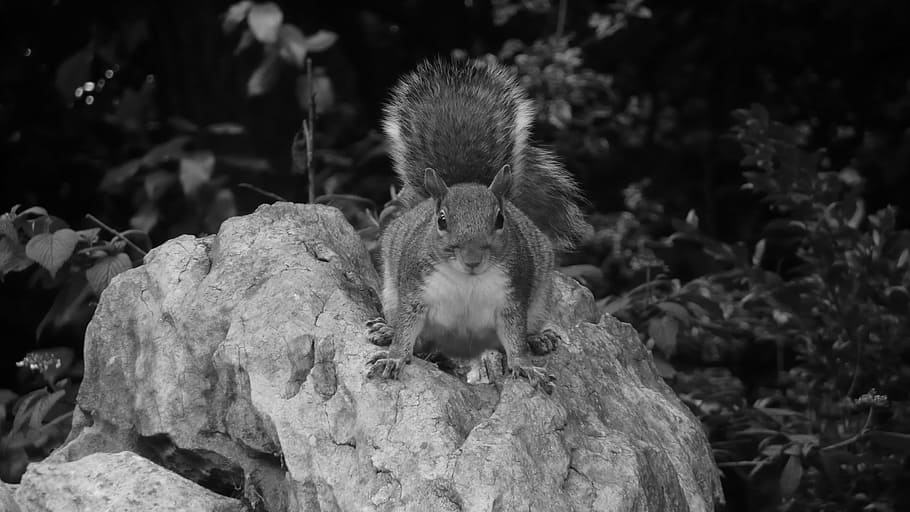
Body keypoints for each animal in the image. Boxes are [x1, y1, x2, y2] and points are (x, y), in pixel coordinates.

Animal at [366, 59, 590, 391]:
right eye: (441, 220)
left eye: (500, 219)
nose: (472, 259)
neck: (466, 280)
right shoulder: (413, 292)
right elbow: (407, 328)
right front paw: (394, 356)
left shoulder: (513, 298)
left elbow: (514, 338)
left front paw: (526, 366)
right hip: (391, 291)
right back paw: (386, 330)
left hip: (539, 298)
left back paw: (538, 338)